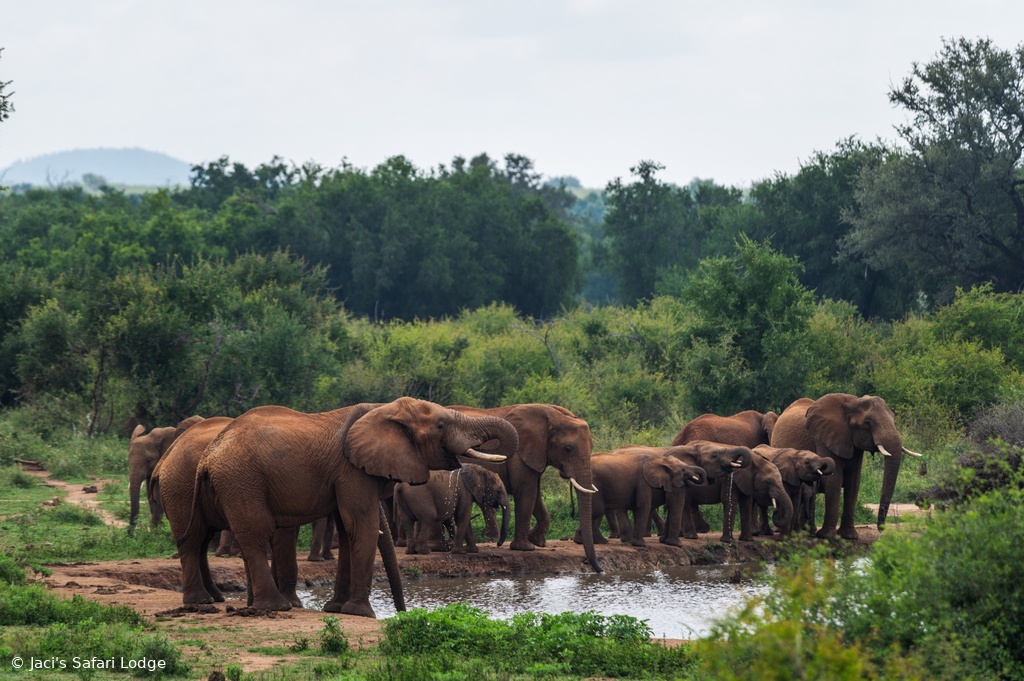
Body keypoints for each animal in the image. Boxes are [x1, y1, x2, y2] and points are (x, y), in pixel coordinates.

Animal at [177, 397, 519, 616]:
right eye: (441, 424)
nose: (402, 614)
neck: (381, 410)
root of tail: (209, 455)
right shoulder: (351, 470)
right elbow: (362, 526)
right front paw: (363, 614)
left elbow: (346, 530)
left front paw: (337, 609)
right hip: (241, 479)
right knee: (254, 534)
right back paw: (274, 608)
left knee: (203, 537)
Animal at [448, 403, 602, 573]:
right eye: (568, 449)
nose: (599, 569)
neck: (554, 417)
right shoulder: (520, 455)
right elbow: (527, 492)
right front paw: (525, 547)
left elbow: (536, 495)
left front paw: (537, 541)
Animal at [770, 394, 922, 540]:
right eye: (867, 423)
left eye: (893, 419)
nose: (881, 529)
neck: (853, 403)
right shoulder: (825, 439)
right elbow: (834, 479)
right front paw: (828, 537)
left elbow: (854, 481)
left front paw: (849, 536)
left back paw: (807, 532)